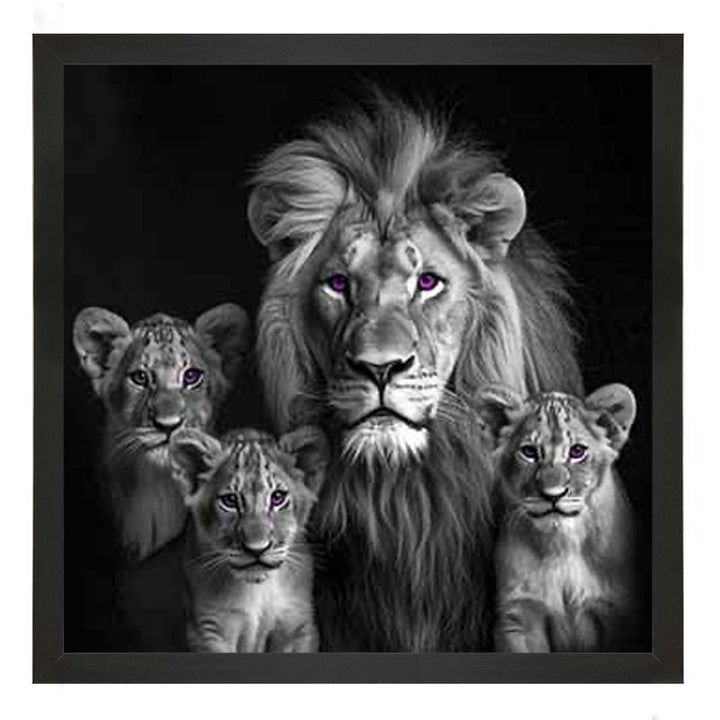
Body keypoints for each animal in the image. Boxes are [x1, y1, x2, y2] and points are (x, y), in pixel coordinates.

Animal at [169, 426, 328, 652]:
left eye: (277, 497)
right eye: (230, 500)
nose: (257, 549)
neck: (257, 590)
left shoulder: (298, 626)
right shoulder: (208, 631)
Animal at [475, 383, 637, 652]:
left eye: (577, 451)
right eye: (529, 452)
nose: (553, 494)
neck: (562, 543)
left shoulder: (618, 612)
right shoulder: (519, 615)